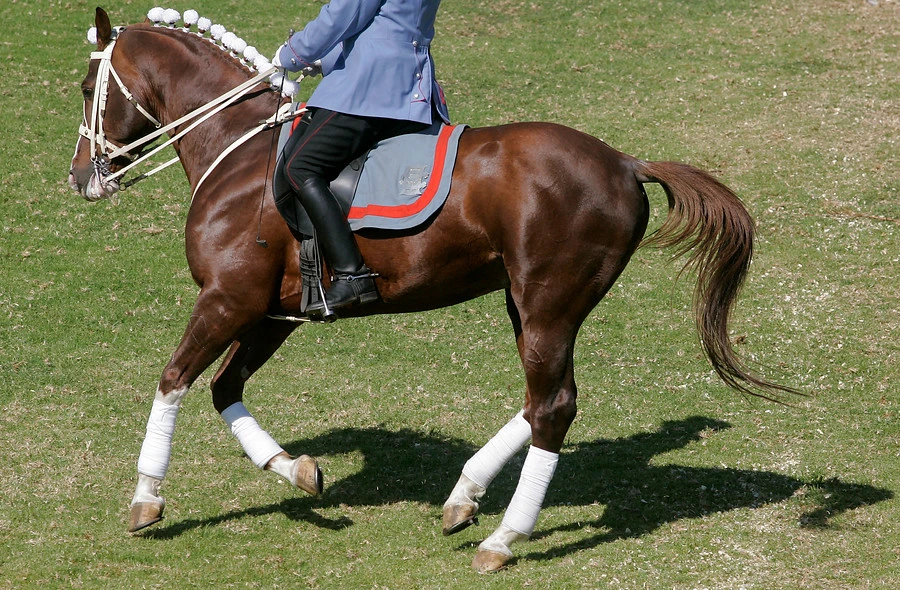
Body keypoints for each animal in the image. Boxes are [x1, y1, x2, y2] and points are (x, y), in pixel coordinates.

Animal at [70, 8, 796, 572]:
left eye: (84, 88)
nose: (81, 177)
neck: (239, 152)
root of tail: (623, 162)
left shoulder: (229, 300)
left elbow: (172, 380)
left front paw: (146, 497)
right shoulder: (273, 313)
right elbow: (225, 388)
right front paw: (297, 469)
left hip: (548, 304)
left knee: (553, 405)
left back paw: (502, 538)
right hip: (527, 304)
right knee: (541, 400)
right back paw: (464, 496)